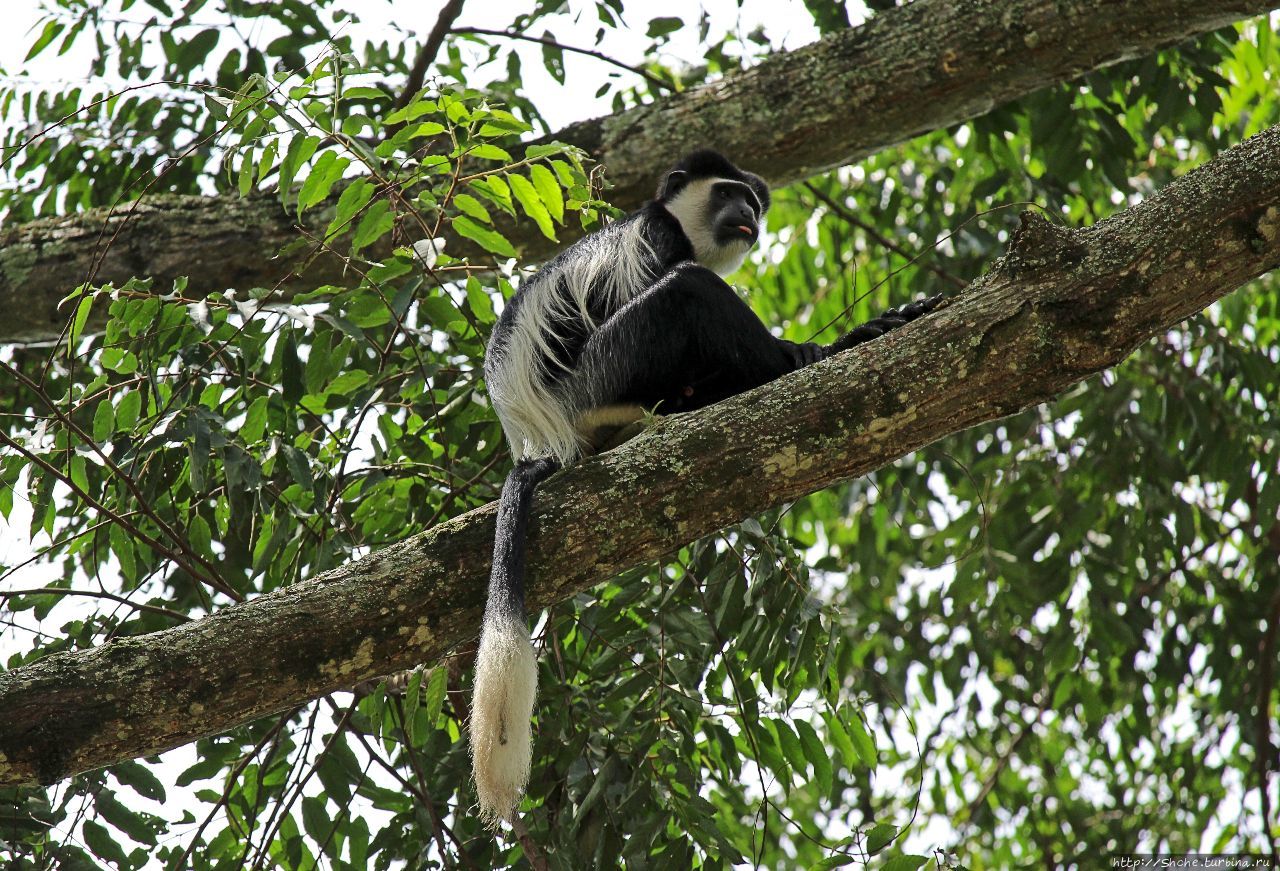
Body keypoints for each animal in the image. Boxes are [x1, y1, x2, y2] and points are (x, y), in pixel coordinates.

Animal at [471, 149, 942, 824]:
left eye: (749, 199)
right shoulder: (650, 240)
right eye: (726, 193)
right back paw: (806, 358)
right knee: (688, 292)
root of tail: (546, 441)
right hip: (602, 377)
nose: (747, 212)